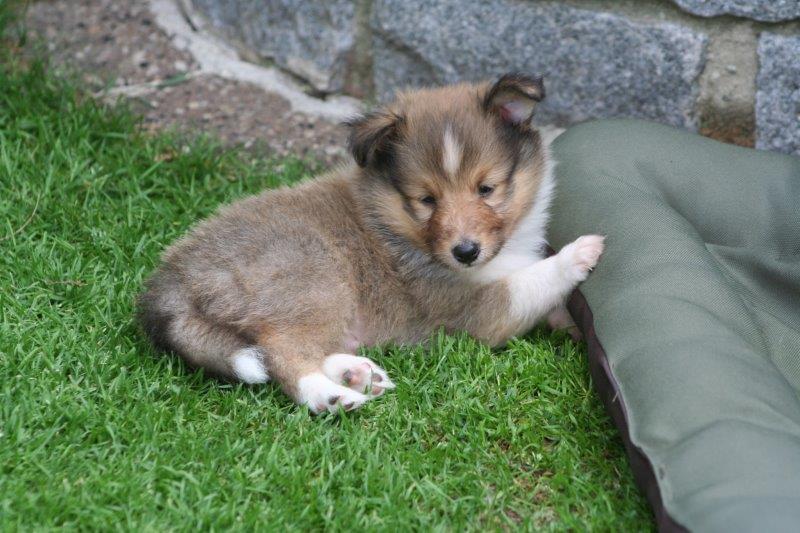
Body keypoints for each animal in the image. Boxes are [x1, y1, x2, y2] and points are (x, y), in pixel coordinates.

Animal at [137, 73, 604, 414]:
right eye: (426, 200)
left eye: (486, 189)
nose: (465, 252)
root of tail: (170, 282)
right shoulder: (467, 310)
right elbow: (526, 284)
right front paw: (581, 252)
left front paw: (573, 325)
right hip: (315, 278)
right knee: (281, 354)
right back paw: (332, 396)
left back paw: (355, 373)